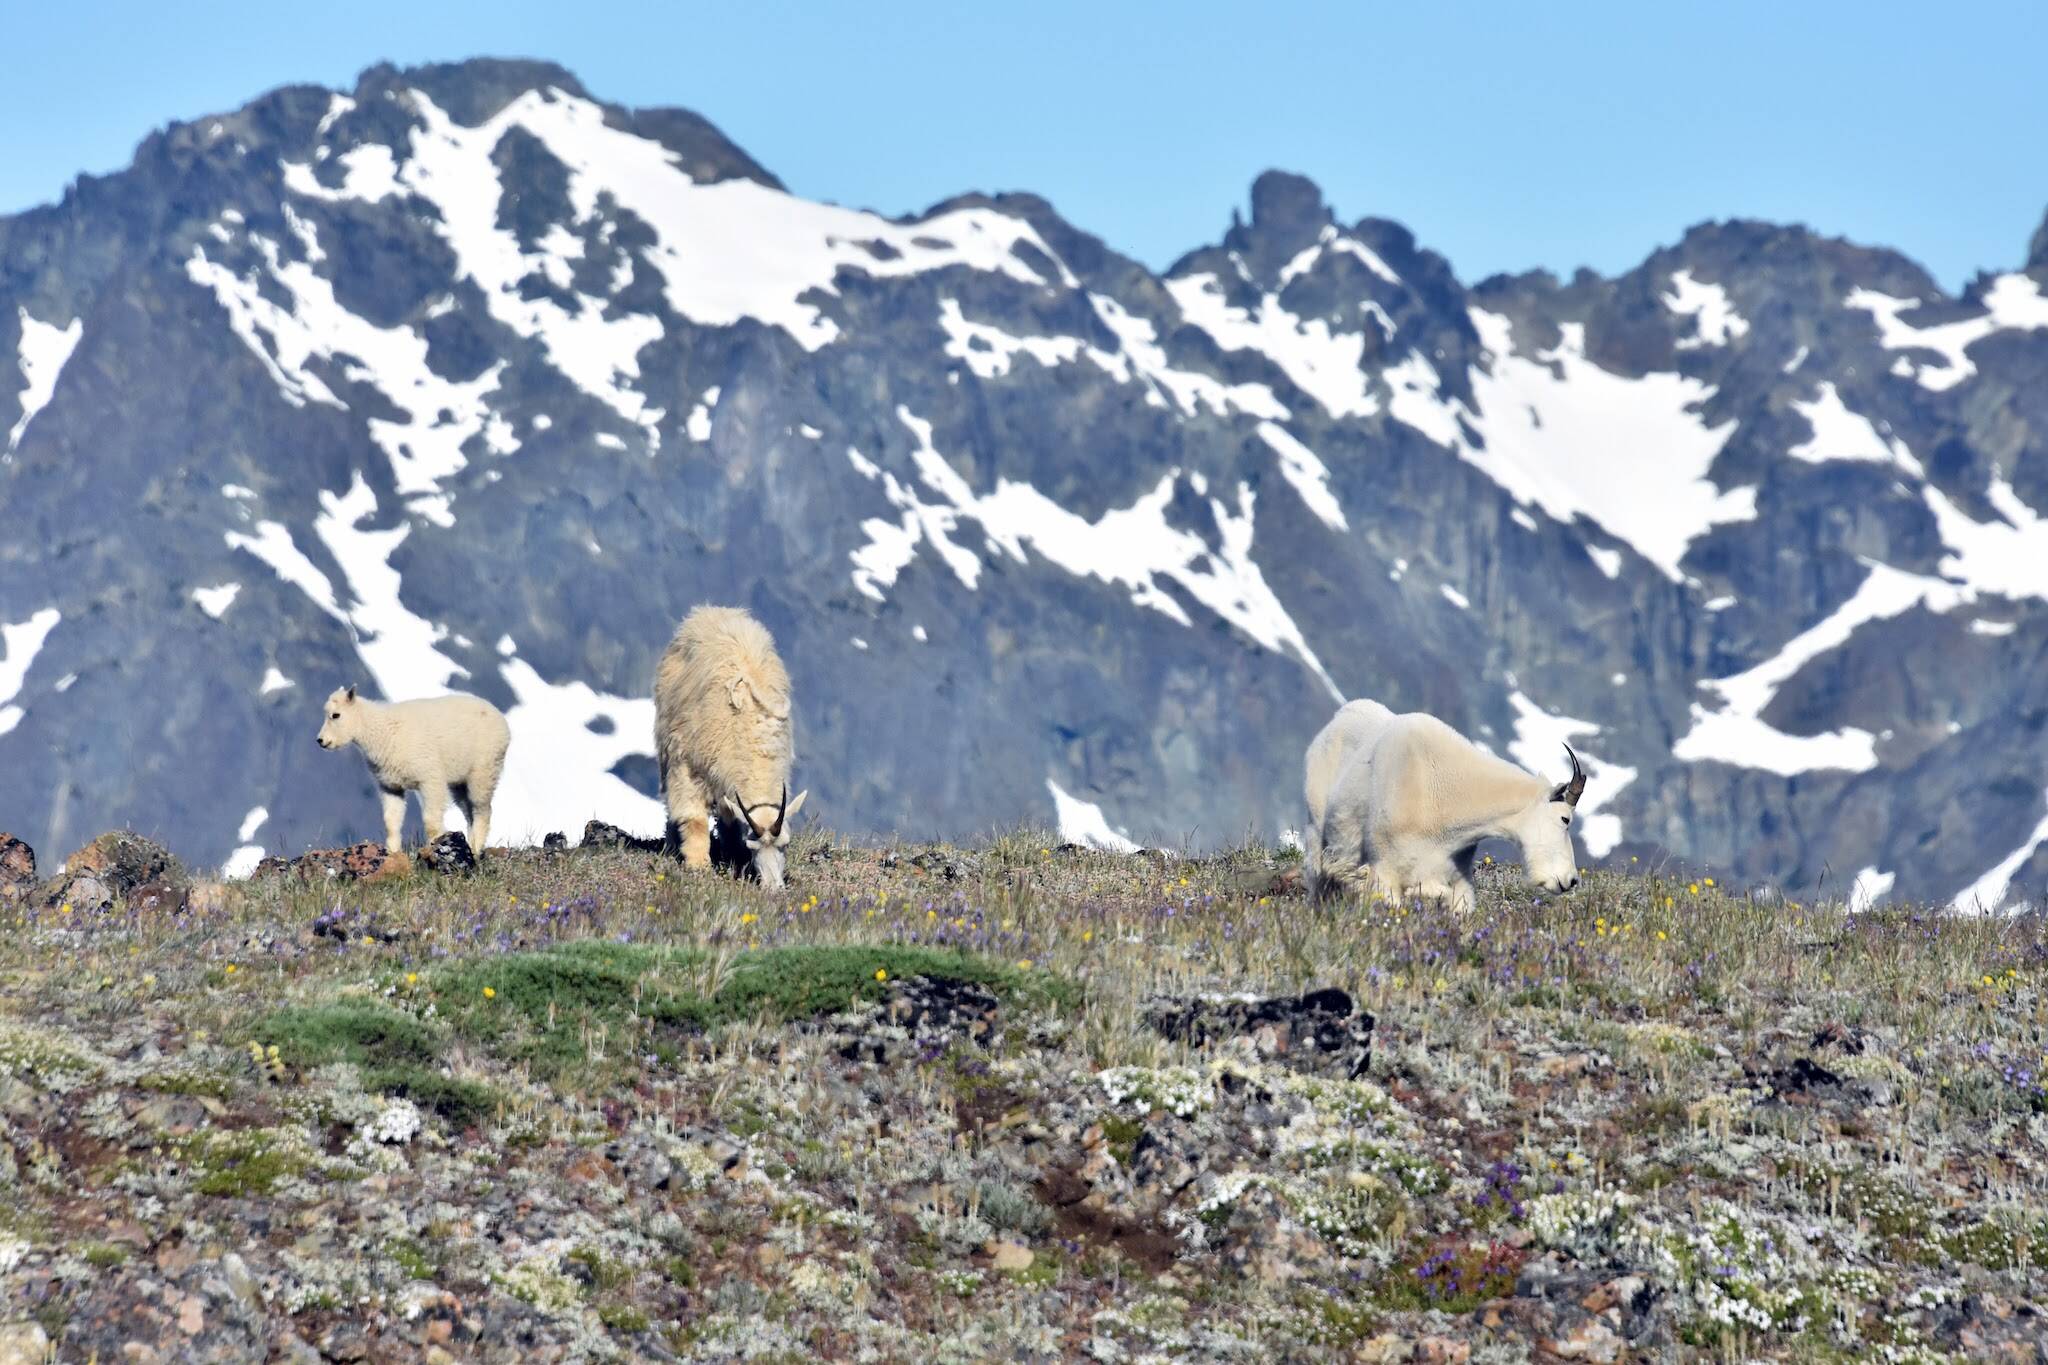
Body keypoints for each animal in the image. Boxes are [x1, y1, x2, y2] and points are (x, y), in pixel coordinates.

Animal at [319, 687, 516, 859]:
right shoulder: (390, 786)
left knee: (482, 811)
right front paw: (393, 853)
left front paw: (435, 848)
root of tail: (502, 721)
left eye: (336, 715)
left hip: (484, 771)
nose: (320, 740)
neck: (383, 731)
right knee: (469, 813)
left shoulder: (430, 779)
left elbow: (431, 821)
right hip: (460, 782)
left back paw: (475, 849)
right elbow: (391, 821)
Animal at [659, 605, 811, 888]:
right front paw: (698, 865)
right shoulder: (689, 764)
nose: (774, 888)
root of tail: (710, 612)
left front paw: (732, 857)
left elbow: (730, 818)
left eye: (785, 845)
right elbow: (693, 817)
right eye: (754, 848)